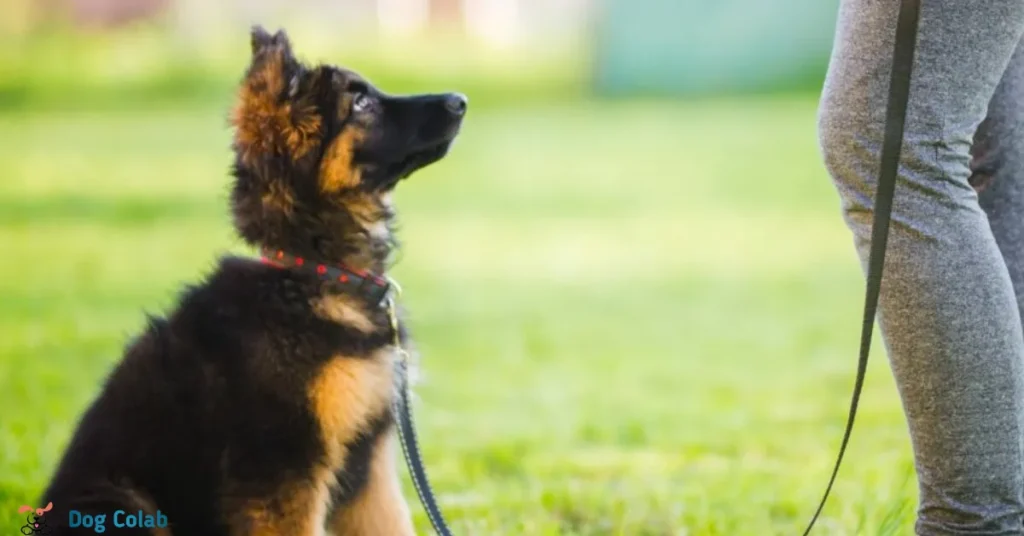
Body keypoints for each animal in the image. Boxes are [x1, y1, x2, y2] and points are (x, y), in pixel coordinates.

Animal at [41, 27, 466, 532]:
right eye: (360, 104)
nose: (460, 100)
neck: (311, 274)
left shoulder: (370, 463)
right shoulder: (281, 466)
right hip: (124, 504)